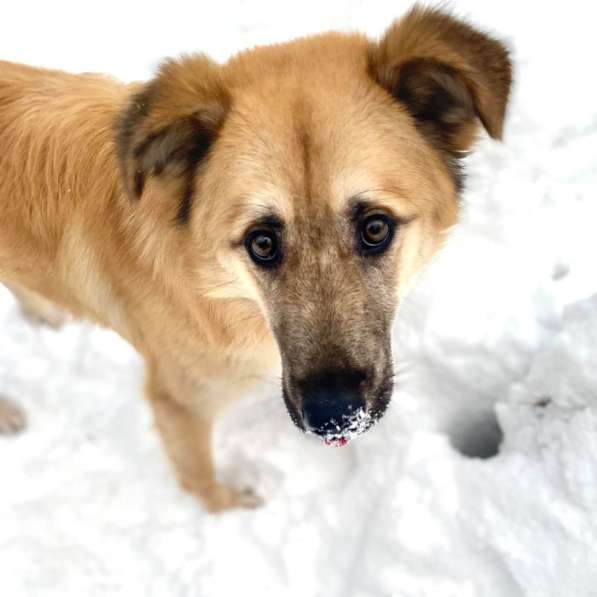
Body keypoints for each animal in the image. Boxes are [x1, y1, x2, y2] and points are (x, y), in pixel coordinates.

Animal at [0, 7, 510, 510]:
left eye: (375, 228)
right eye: (261, 242)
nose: (334, 416)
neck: (210, 284)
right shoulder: (179, 403)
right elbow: (198, 478)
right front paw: (226, 506)